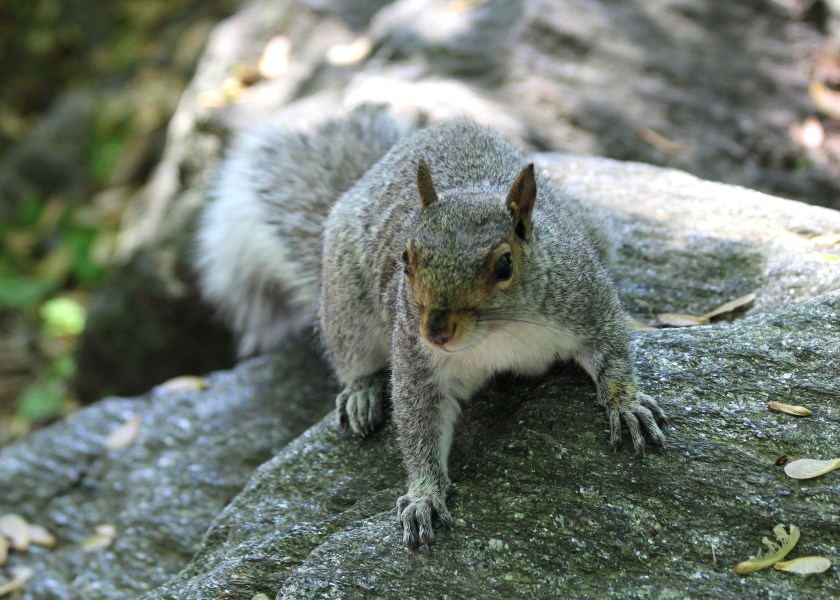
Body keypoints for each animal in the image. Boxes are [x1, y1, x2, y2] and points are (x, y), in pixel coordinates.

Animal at [194, 104, 666, 551]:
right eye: (405, 258)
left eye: (505, 265)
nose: (436, 333)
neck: (501, 333)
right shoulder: (415, 355)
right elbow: (419, 422)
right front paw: (424, 495)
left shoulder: (585, 299)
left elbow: (612, 347)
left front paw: (627, 405)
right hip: (347, 308)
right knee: (350, 355)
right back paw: (361, 393)